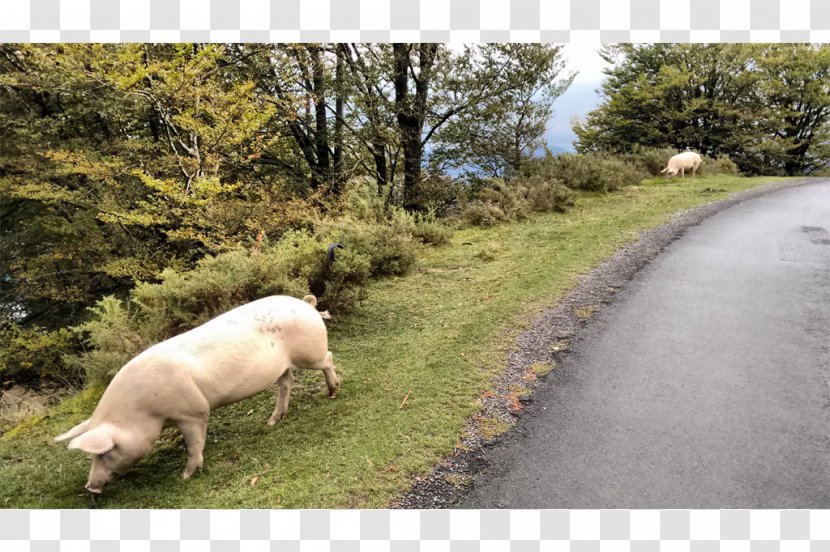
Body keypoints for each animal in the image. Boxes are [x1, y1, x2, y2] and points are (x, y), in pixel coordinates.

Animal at [54, 296, 338, 494]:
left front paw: (186, 475)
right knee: (287, 381)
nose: (90, 486)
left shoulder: (193, 412)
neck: (145, 412)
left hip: (310, 353)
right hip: (282, 367)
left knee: (328, 358)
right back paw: (272, 421)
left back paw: (333, 391)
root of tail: (306, 305)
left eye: (105, 453)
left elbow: (195, 443)